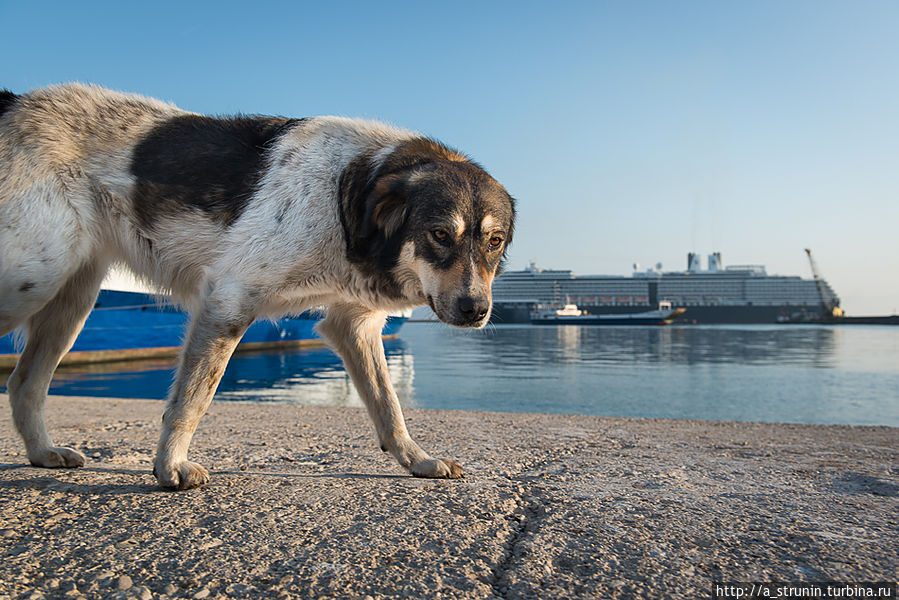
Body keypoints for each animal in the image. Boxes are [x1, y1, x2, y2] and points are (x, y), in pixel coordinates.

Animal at [0, 83, 516, 488]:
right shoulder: (229, 299)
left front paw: (416, 460)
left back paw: (43, 454)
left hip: (72, 297)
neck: (346, 197)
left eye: (494, 241)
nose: (476, 310)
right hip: (35, 276)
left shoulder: (354, 325)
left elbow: (389, 407)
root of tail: (15, 101)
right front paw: (171, 467)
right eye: (439, 234)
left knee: (24, 383)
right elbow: (193, 398)